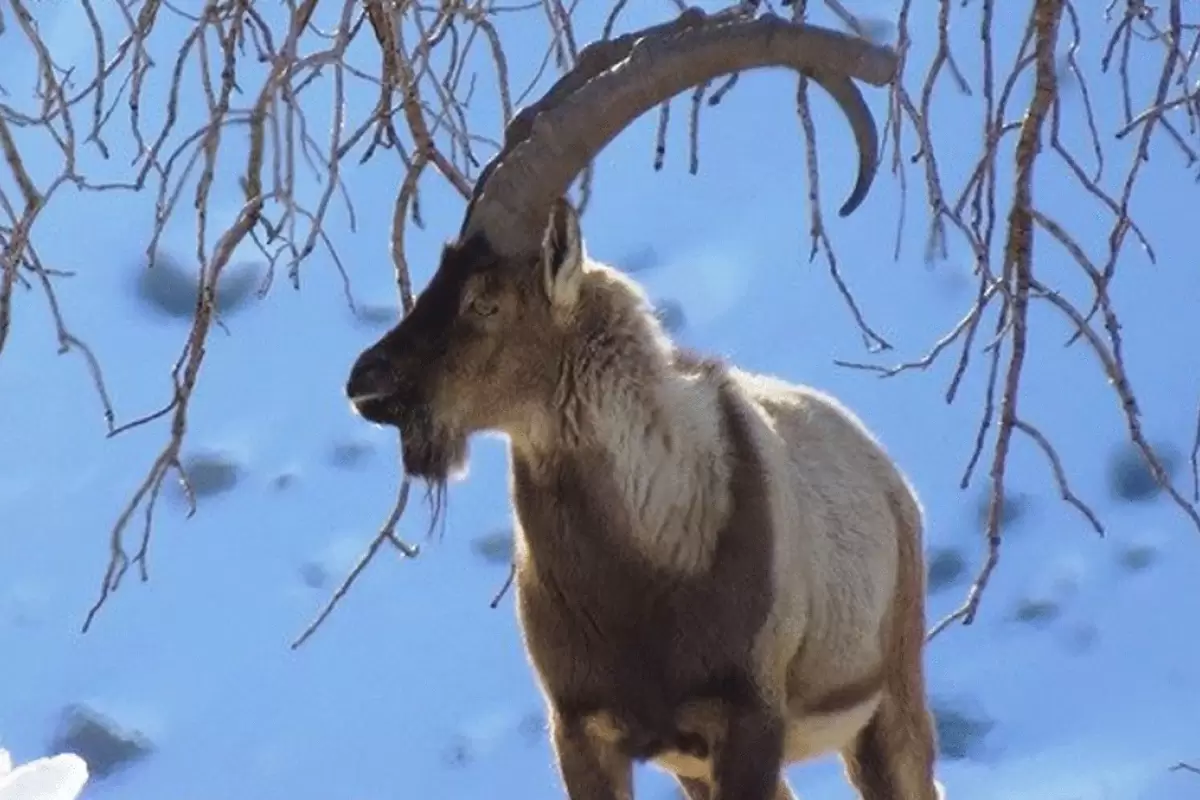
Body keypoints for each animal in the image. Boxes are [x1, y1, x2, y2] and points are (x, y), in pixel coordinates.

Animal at [343, 7, 940, 800]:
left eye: (485, 299)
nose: (366, 381)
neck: (644, 571)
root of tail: (888, 476)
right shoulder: (584, 729)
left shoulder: (748, 717)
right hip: (699, 766)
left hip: (889, 699)